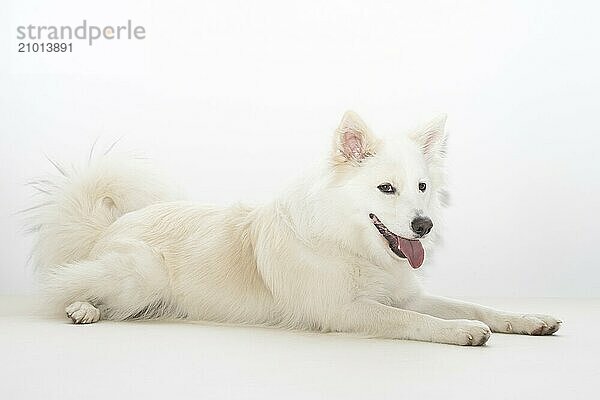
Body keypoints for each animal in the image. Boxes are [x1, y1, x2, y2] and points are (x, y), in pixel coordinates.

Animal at [27, 111, 564, 344]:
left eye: (422, 187)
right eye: (386, 189)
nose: (424, 225)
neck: (348, 242)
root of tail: (114, 222)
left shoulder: (403, 294)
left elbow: (474, 305)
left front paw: (527, 320)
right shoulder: (346, 310)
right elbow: (415, 322)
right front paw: (461, 331)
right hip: (139, 277)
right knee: (69, 284)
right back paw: (82, 309)